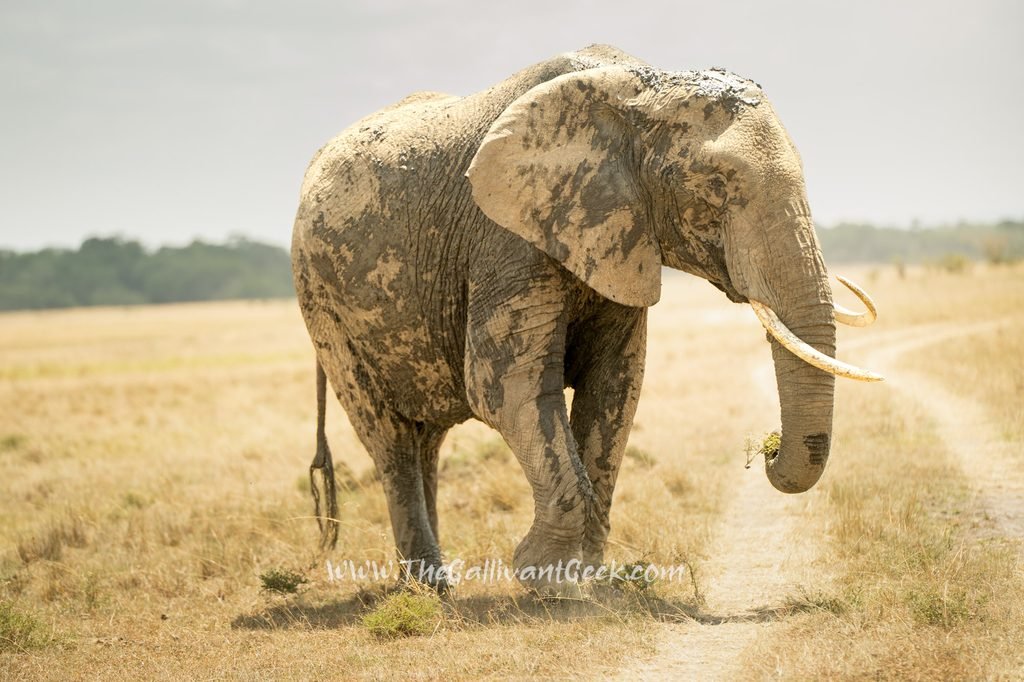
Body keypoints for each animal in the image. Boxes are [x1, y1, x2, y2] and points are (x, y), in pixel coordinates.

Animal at [291, 44, 882, 596]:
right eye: (714, 187)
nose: (769, 450)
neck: (639, 90)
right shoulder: (505, 237)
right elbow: (507, 388)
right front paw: (548, 582)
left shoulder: (619, 234)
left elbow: (614, 387)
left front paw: (587, 579)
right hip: (322, 303)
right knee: (389, 437)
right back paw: (429, 587)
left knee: (425, 441)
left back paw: (433, 585)